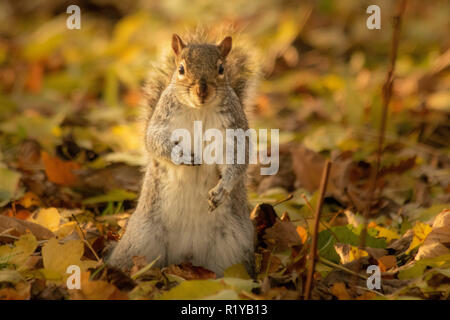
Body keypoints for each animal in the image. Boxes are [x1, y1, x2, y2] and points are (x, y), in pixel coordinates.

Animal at [106, 28, 258, 276]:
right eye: (181, 69)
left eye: (221, 69)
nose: (201, 91)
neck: (199, 110)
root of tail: (186, 254)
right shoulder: (161, 122)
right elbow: (154, 141)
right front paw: (181, 155)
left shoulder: (234, 130)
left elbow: (238, 158)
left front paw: (221, 190)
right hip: (139, 241)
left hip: (233, 247)